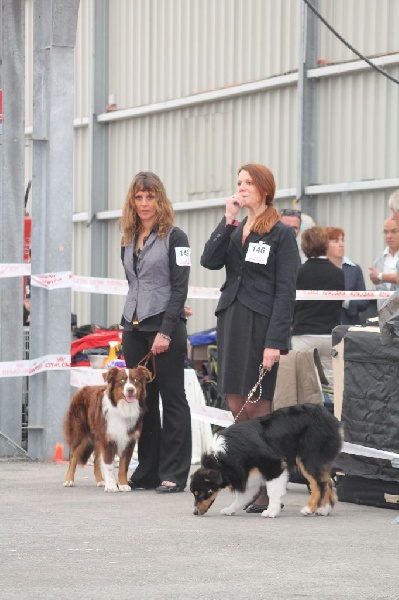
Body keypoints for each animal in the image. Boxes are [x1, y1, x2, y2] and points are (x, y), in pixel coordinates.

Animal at [192, 404, 342, 516]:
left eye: (203, 493)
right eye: (194, 494)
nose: (195, 512)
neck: (222, 458)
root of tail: (331, 418)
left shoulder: (273, 465)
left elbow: (273, 491)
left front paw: (271, 511)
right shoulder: (248, 473)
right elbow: (242, 495)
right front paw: (231, 509)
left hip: (308, 458)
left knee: (320, 484)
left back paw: (309, 509)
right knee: (328, 482)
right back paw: (324, 510)